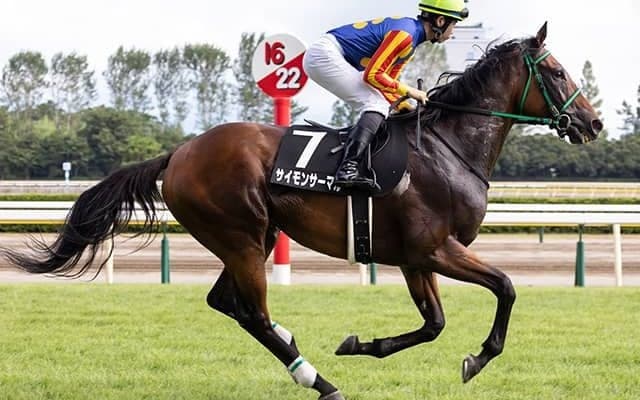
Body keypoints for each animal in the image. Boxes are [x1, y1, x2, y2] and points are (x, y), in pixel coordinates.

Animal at [2, 23, 602, 400]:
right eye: (555, 72)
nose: (592, 123)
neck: (446, 148)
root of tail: (179, 153)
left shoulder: (415, 257)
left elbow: (433, 323)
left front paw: (362, 343)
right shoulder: (434, 248)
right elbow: (506, 287)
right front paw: (477, 358)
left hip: (256, 237)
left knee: (228, 304)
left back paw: (297, 345)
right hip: (241, 236)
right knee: (252, 313)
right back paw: (320, 382)